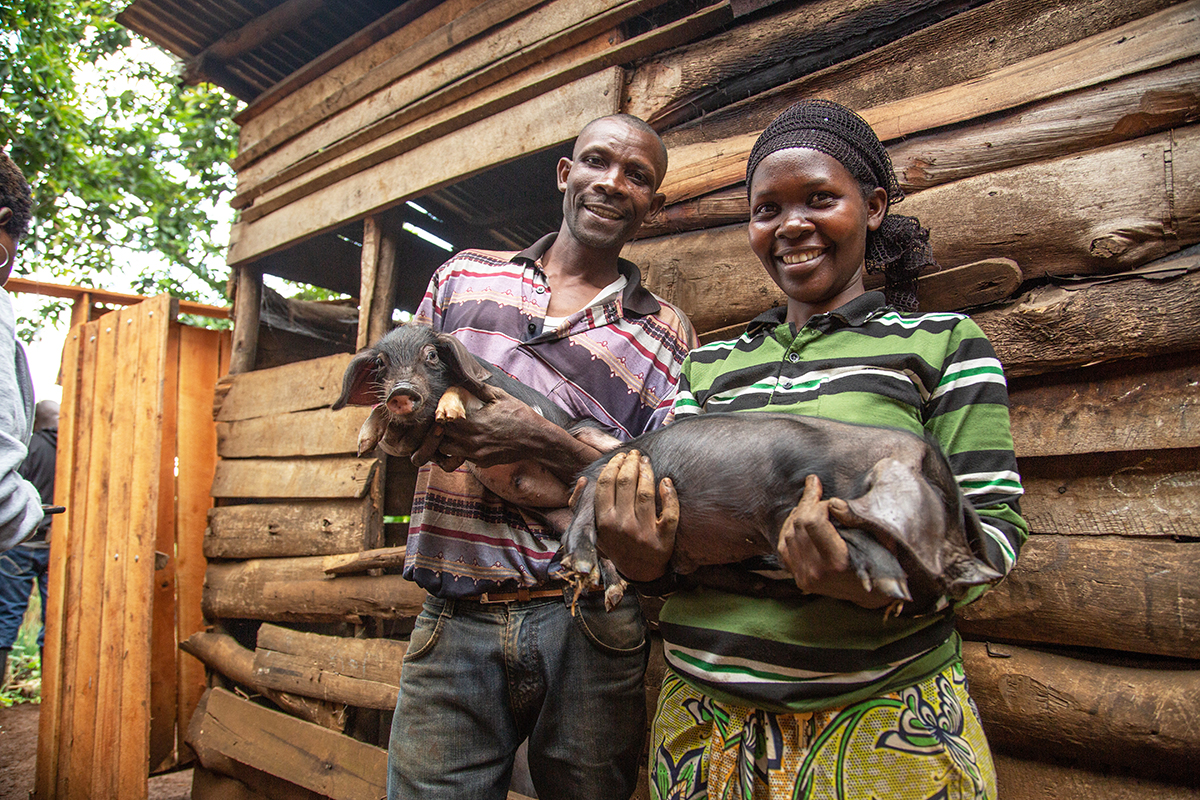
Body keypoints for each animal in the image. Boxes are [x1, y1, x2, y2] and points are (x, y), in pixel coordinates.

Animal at [561, 417, 1003, 609]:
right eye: (938, 499)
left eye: (957, 506)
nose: (985, 575)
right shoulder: (783, 505)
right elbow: (847, 529)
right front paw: (893, 584)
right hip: (602, 481)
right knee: (580, 524)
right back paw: (583, 569)